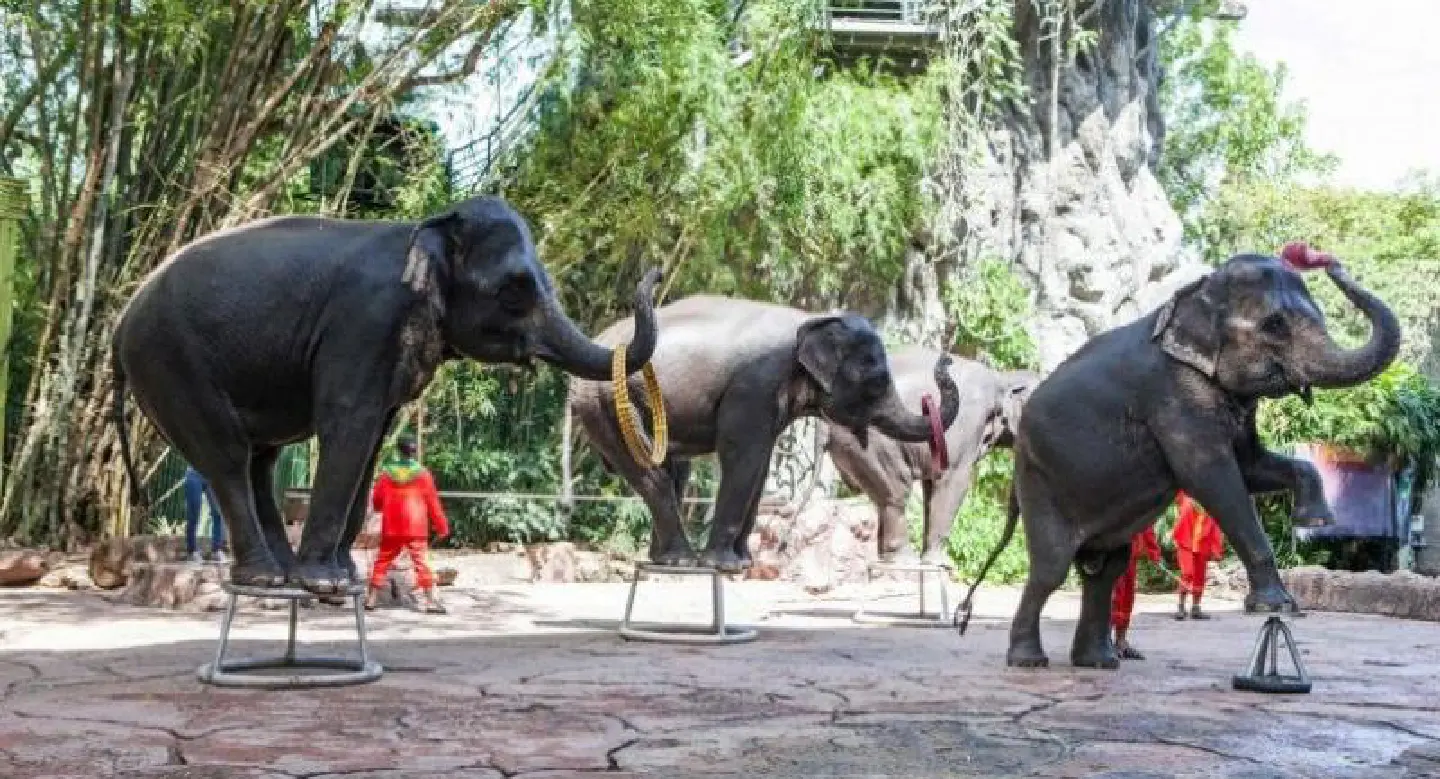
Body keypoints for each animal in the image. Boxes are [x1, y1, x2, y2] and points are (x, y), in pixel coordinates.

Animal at [112, 195, 661, 594]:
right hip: (171, 363)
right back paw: (267, 577)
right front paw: (326, 584)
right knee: (227, 456)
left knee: (258, 462)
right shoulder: (365, 320)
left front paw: (344, 576)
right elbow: (349, 422)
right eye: (514, 291)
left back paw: (282, 573)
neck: (425, 228)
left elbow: (374, 436)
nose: (654, 273)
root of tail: (120, 324)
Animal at [568, 295, 961, 572]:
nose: (946, 360)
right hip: (604, 401)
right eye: (877, 383)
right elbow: (743, 455)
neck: (811, 319)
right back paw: (681, 560)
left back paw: (664, 560)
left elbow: (761, 464)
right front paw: (725, 566)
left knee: (672, 472)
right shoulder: (755, 384)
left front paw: (744, 562)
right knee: (652, 474)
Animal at [823, 347, 1039, 567]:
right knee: (897, 492)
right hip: (869, 442)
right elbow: (953, 479)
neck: (1003, 379)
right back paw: (904, 560)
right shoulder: (965, 423)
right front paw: (940, 564)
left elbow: (931, 486)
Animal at [960, 252, 1400, 670]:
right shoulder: (1172, 395)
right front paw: (1276, 606)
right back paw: (1029, 661)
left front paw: (1316, 521)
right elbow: (1211, 475)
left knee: (1105, 570)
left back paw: (1099, 662)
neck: (1198, 293)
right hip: (1040, 480)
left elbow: (1251, 466)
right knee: (1051, 569)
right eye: (1274, 326)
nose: (1328, 261)